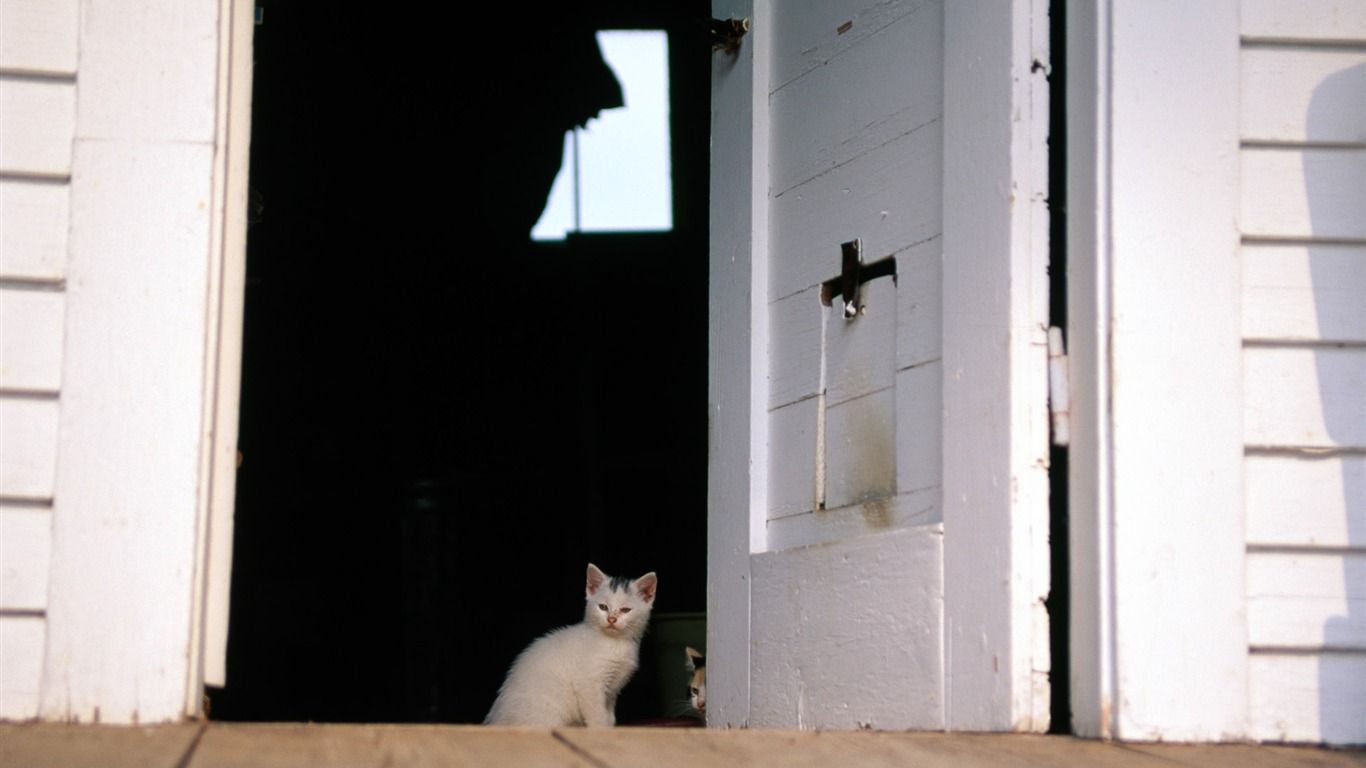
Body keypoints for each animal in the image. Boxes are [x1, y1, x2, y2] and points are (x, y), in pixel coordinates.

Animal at [486, 563, 655, 721]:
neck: (614, 643)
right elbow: (598, 717)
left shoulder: (612, 691)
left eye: (625, 610)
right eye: (603, 607)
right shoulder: (588, 684)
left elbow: (609, 717)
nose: (611, 619)